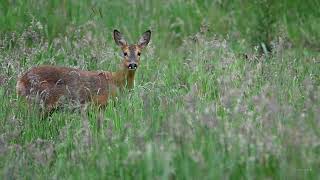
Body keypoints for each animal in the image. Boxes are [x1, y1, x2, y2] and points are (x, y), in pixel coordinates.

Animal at [16, 28, 152, 114]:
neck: (117, 82)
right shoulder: (99, 104)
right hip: (42, 101)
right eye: (125, 53)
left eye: (139, 53)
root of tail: (20, 82)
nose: (132, 64)